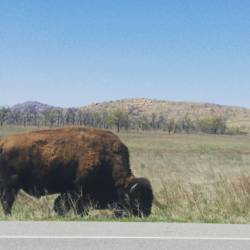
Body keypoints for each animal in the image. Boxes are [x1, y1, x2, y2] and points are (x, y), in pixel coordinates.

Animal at [0, 127, 153, 217]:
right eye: (137, 199)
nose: (146, 214)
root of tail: (3, 143)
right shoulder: (77, 191)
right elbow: (70, 205)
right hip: (11, 186)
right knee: (7, 201)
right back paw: (9, 216)